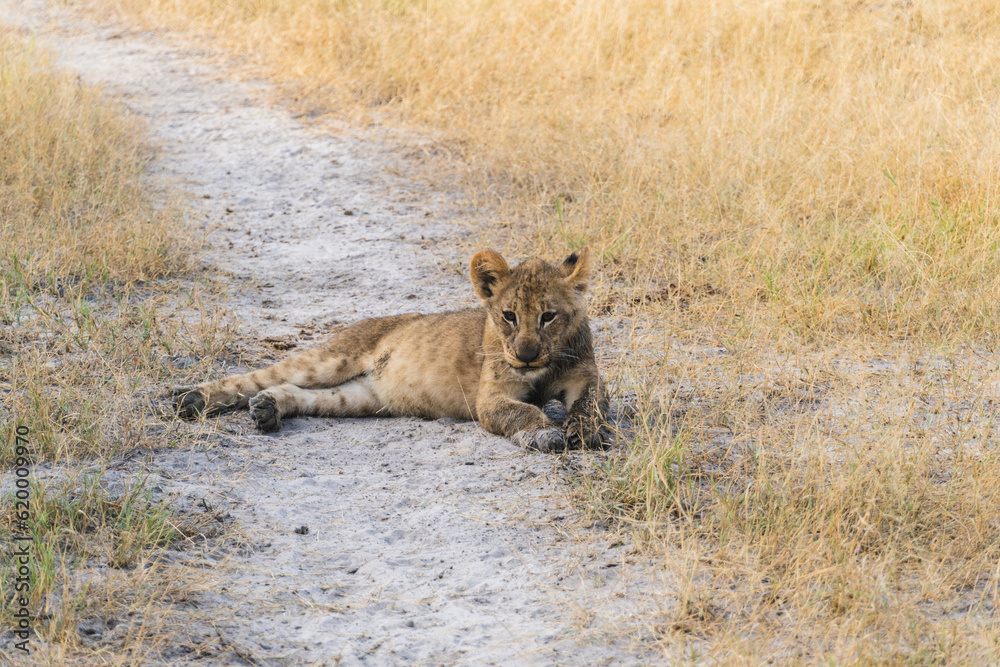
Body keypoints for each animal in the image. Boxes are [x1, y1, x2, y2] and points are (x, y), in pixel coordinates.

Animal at [173, 247, 608, 451]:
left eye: (548, 316)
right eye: (509, 316)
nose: (526, 355)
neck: (545, 365)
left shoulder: (584, 376)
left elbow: (593, 405)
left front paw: (584, 431)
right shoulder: (490, 398)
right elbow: (523, 412)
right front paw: (547, 434)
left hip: (360, 398)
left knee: (299, 393)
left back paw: (267, 409)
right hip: (333, 357)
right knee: (257, 377)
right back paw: (191, 398)